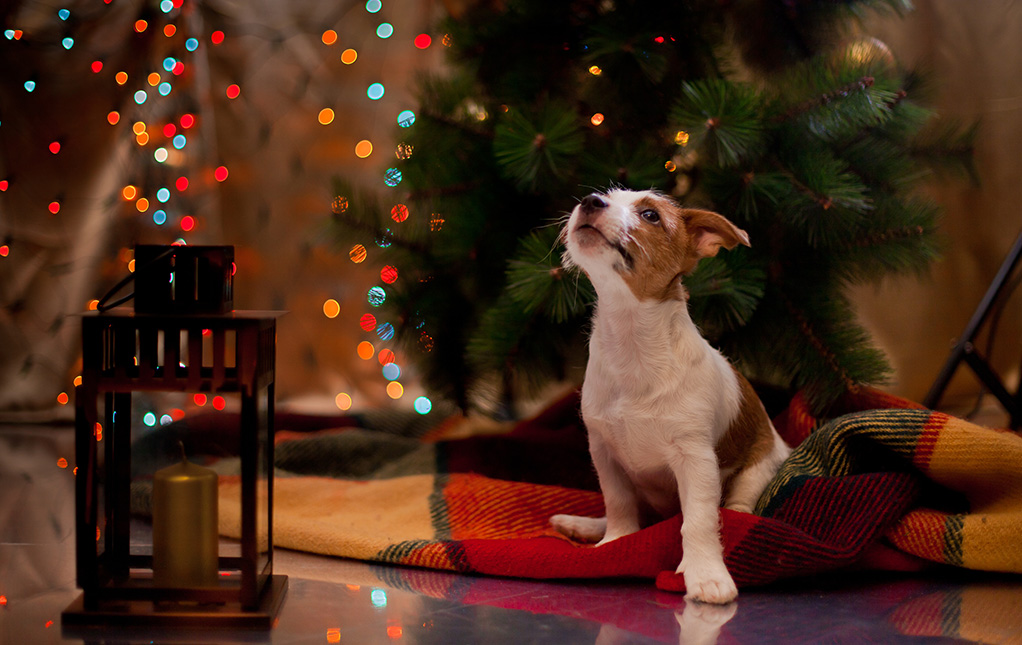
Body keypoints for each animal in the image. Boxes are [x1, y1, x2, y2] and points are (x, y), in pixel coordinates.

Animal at [551, 188, 788, 605]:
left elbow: (699, 520)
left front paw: (706, 574)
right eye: (604, 195)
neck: (632, 343)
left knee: (738, 507)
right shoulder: (604, 452)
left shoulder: (696, 460)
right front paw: (614, 544)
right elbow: (619, 504)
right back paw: (585, 526)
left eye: (651, 215)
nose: (590, 200)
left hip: (758, 468)